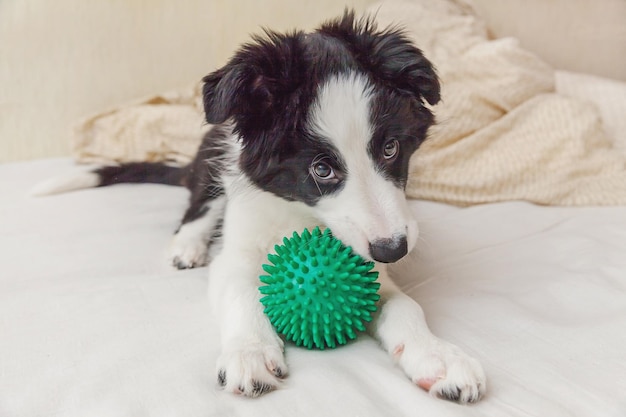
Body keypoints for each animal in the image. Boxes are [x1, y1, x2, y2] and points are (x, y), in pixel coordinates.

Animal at [36, 11, 486, 404]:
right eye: (322, 169)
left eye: (391, 148)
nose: (394, 250)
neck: (301, 214)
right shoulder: (237, 248)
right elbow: (241, 290)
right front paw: (249, 352)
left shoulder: (367, 258)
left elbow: (403, 304)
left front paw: (438, 356)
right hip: (213, 155)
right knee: (198, 207)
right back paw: (186, 245)